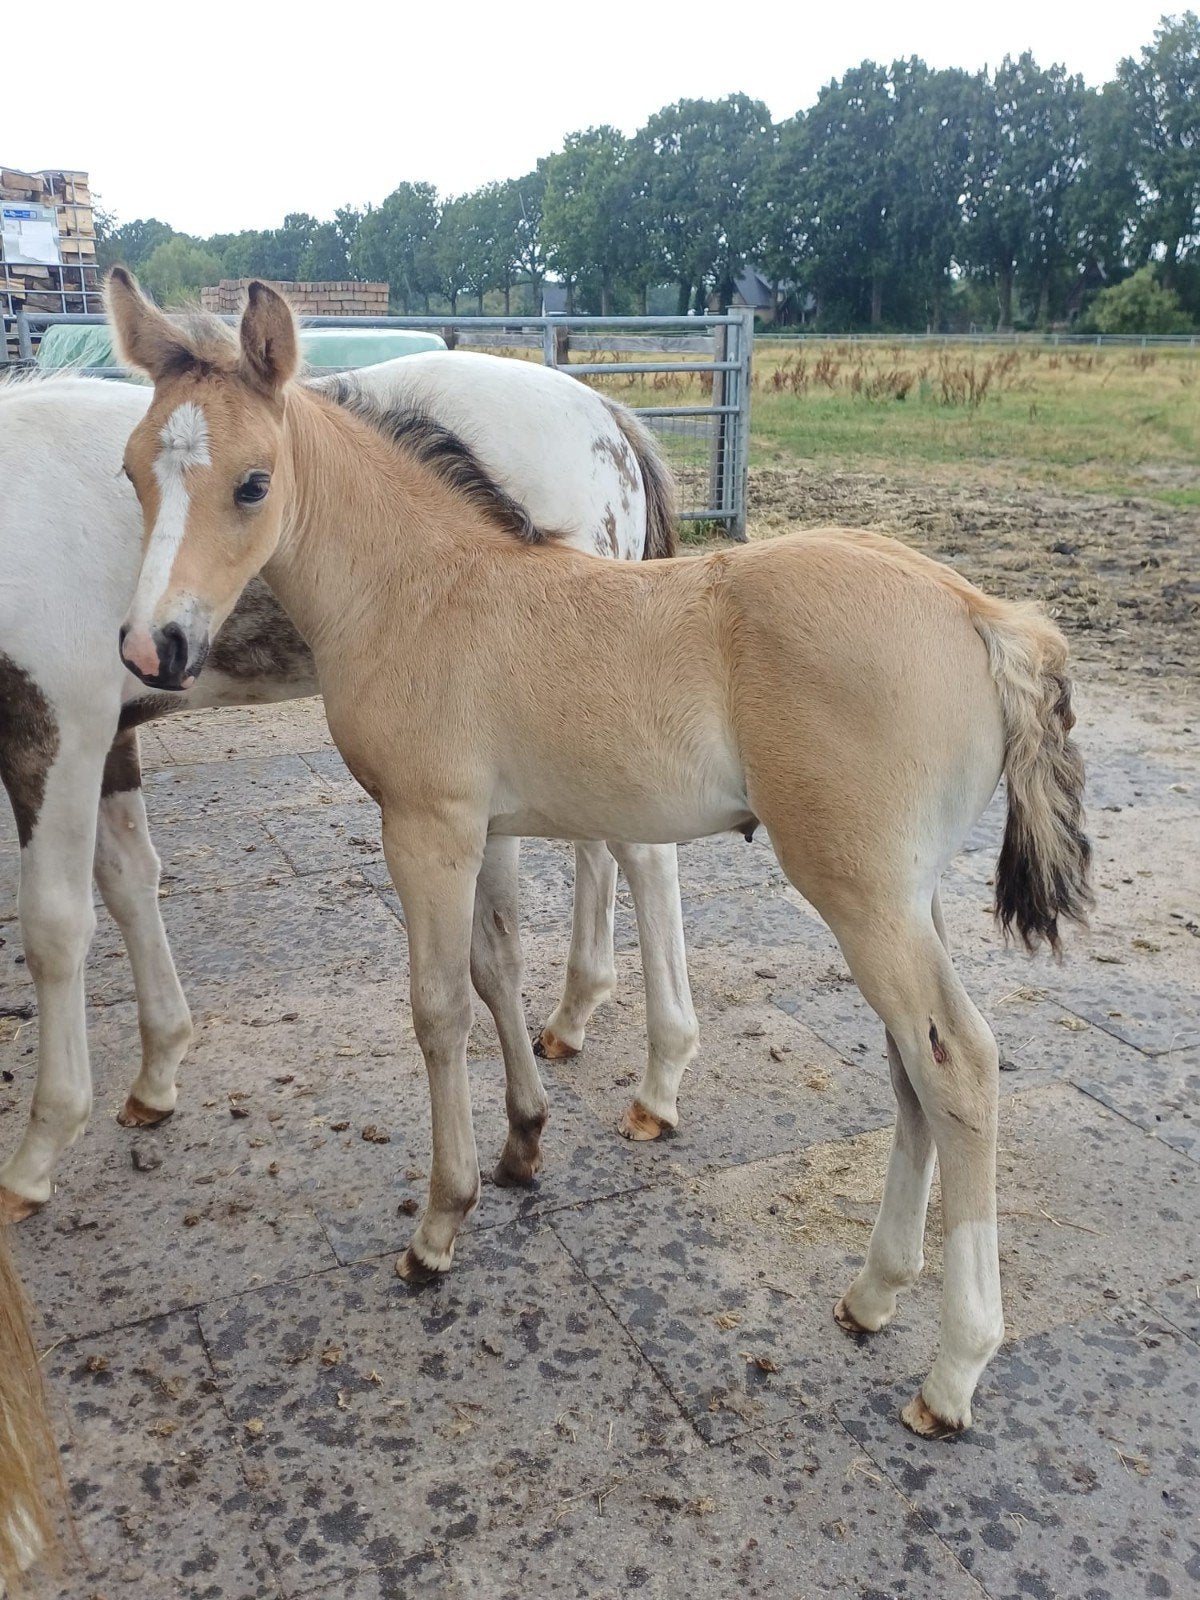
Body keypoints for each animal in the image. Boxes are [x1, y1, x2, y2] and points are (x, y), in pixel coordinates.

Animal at [0, 355, 696, 1221]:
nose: (155, 644)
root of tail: (607, 412)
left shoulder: (57, 721)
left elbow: (56, 928)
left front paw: (37, 1153)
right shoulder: (112, 729)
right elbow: (130, 883)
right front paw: (157, 1076)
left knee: (644, 857)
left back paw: (657, 1082)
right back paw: (572, 1019)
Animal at [108, 270, 1092, 1438]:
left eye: (253, 482)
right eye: (134, 468)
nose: (153, 649)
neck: (424, 590)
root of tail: (983, 613)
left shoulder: (426, 827)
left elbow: (436, 1010)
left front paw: (438, 1227)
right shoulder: (484, 828)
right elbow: (496, 970)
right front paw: (520, 1145)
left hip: (863, 894)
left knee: (961, 1068)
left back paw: (952, 1372)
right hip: (905, 896)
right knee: (914, 1068)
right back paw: (871, 1293)